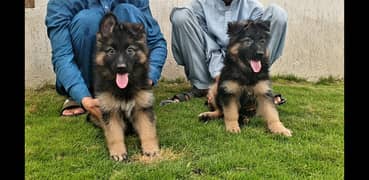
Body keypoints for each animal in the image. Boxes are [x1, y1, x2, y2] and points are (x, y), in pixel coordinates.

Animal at [89, 13, 160, 162]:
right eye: (111, 51)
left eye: (130, 50)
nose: (121, 68)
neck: (124, 89)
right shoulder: (110, 112)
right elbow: (114, 134)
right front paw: (118, 152)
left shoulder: (143, 109)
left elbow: (148, 131)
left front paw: (151, 149)